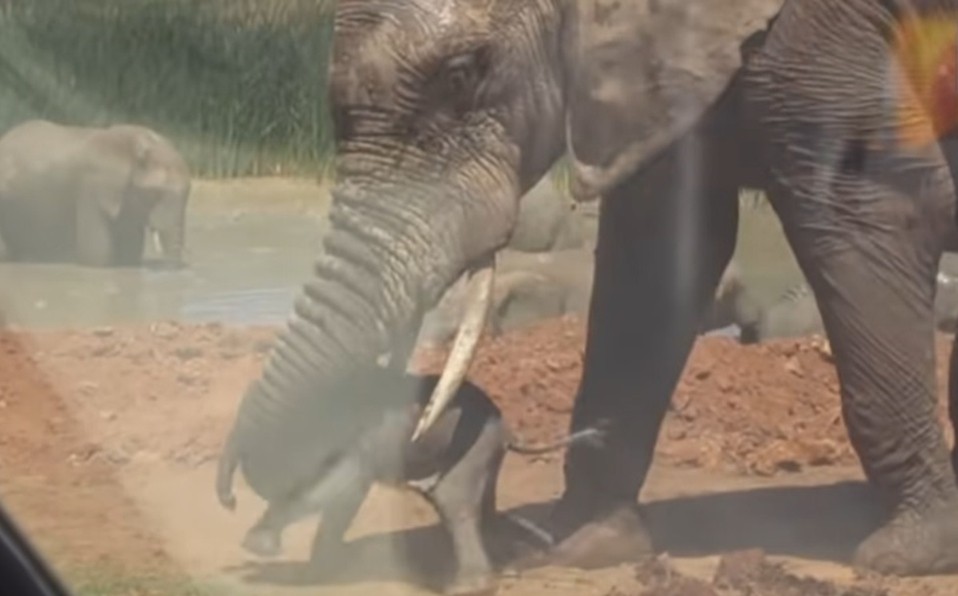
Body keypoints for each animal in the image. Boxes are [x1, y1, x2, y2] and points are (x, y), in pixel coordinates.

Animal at [221, 370, 604, 596]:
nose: (230, 501)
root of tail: (509, 430)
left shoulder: (363, 442)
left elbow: (338, 490)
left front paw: (268, 552)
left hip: (471, 447)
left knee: (453, 502)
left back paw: (465, 587)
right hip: (483, 452)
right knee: (482, 507)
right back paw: (515, 558)